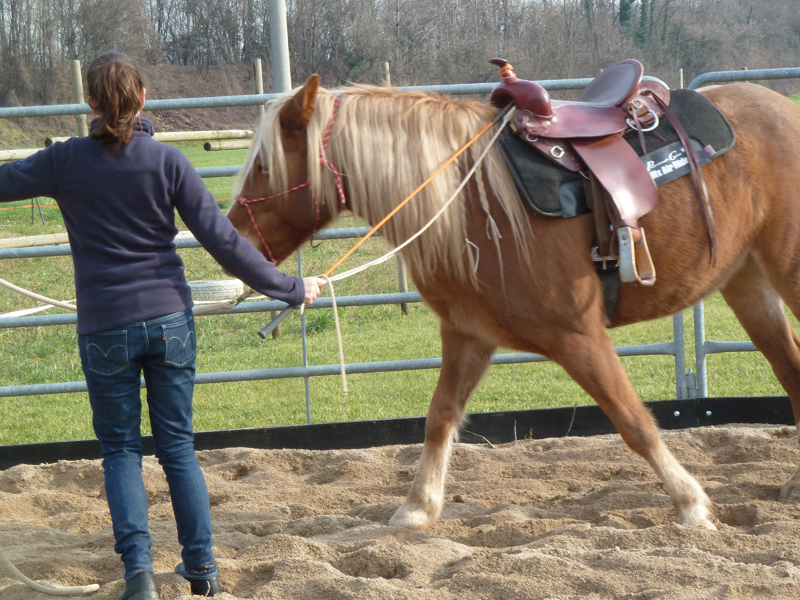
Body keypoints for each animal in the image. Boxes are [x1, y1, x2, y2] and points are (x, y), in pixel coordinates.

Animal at [225, 74, 800, 531]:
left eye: (263, 164)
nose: (232, 242)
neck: (469, 203)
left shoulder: (579, 338)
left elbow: (633, 422)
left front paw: (690, 504)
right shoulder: (468, 336)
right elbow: (439, 418)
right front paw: (417, 509)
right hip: (748, 284)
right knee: (791, 369)